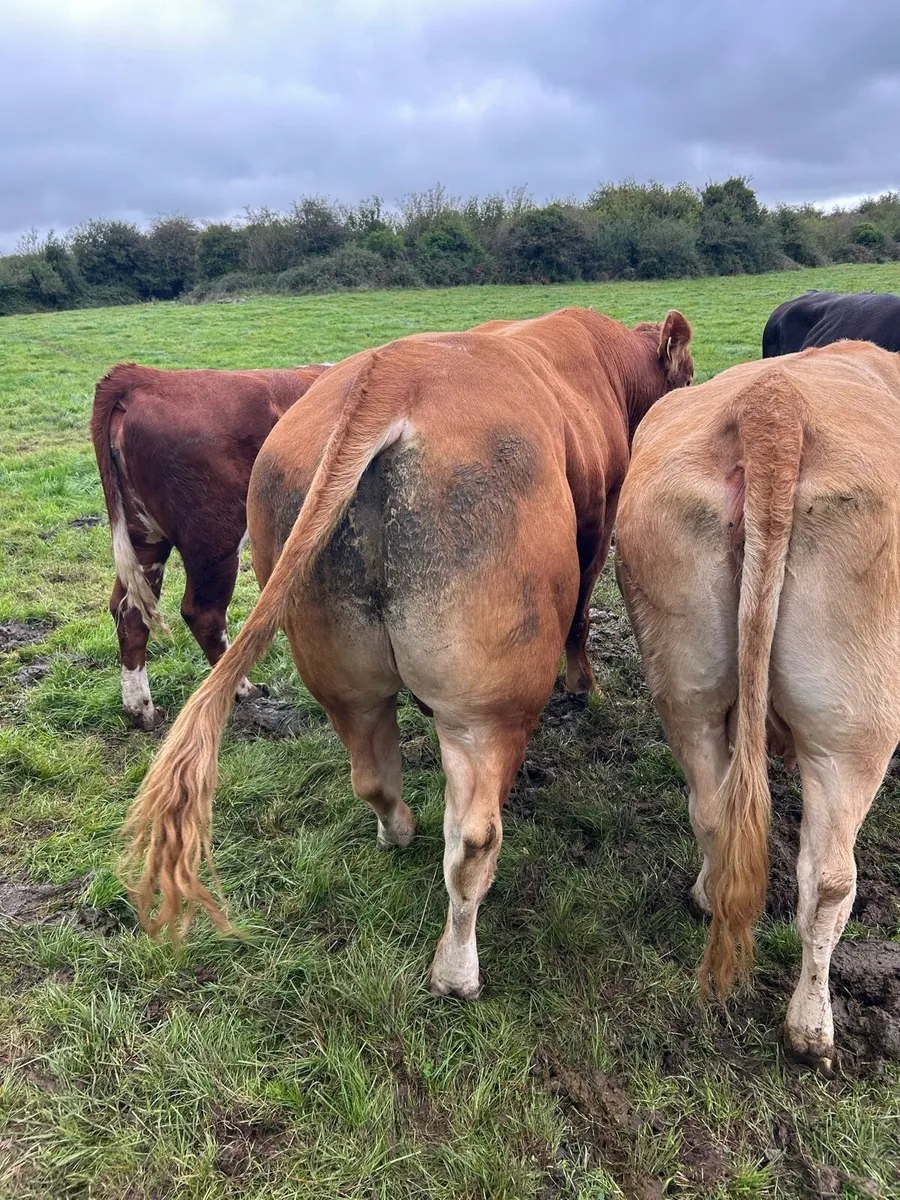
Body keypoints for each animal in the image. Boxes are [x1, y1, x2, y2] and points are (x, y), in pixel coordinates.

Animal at [91, 362, 331, 729]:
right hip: (215, 539)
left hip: (143, 537)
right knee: (203, 613)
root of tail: (145, 376)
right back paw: (242, 689)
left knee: (128, 610)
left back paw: (141, 708)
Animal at [120, 306, 693, 998]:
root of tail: (390, 376)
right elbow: (582, 619)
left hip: (339, 671)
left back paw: (398, 830)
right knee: (473, 838)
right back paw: (457, 970)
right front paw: (584, 686)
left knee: (370, 772)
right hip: (489, 700)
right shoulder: (600, 518)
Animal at [615, 341, 900, 1073]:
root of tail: (774, 404)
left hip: (685, 686)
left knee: (714, 811)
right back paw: (811, 1029)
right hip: (855, 725)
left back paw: (705, 896)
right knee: (830, 879)